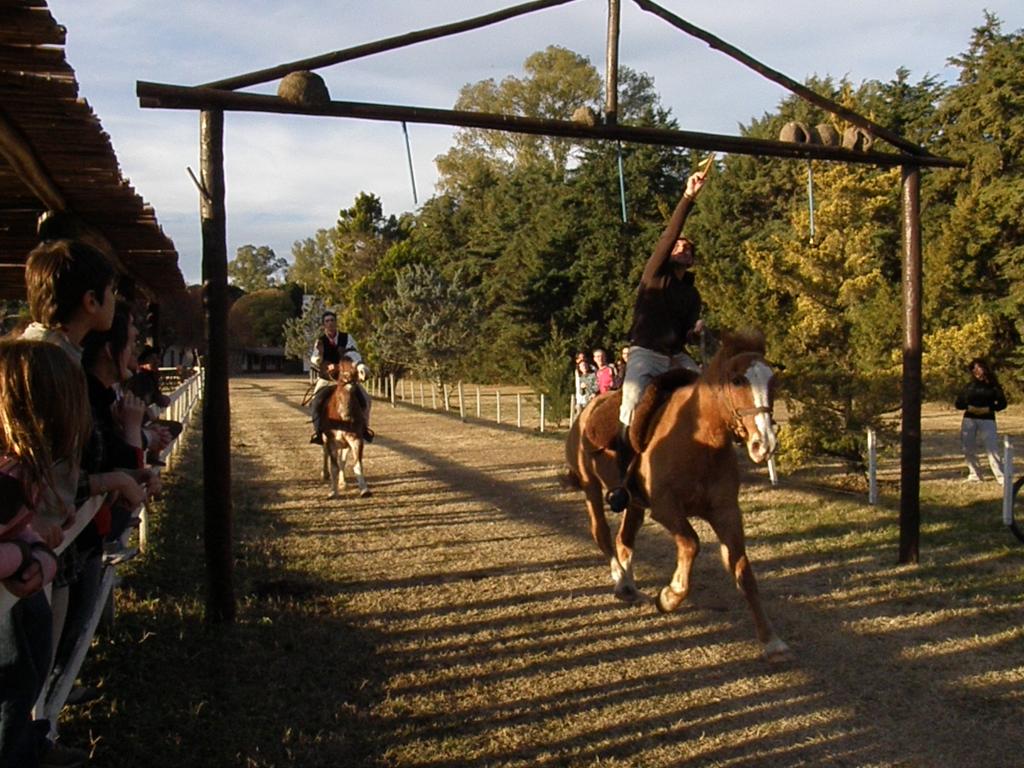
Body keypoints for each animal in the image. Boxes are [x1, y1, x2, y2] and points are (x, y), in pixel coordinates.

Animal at [319, 356, 372, 499]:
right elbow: (334, 467)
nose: (364, 372)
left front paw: (364, 490)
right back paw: (325, 474)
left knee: (342, 460)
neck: (343, 415)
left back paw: (342, 482)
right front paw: (333, 491)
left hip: (345, 444)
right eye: (344, 364)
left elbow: (357, 465)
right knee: (325, 454)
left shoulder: (356, 440)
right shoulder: (331, 441)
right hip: (326, 440)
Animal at [565, 331, 786, 663]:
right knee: (602, 534)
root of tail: (586, 411)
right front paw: (670, 596)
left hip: (634, 504)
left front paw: (771, 640)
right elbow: (691, 543)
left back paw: (628, 585)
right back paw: (621, 580)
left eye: (772, 381)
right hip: (591, 489)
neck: (700, 441)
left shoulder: (726, 512)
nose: (766, 444)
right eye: (737, 381)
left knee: (624, 539)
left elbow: (743, 572)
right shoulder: (667, 509)